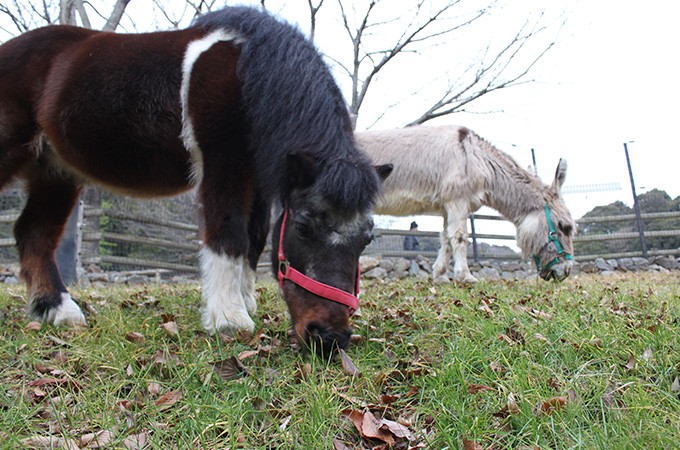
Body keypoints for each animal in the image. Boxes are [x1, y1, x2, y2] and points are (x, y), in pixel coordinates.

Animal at [0, 7, 390, 356]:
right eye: (304, 227)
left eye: (367, 239)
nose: (329, 337)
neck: (250, 74)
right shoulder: (224, 165)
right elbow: (228, 235)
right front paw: (229, 319)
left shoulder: (258, 179)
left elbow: (254, 239)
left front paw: (244, 302)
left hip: (56, 172)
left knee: (33, 234)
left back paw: (57, 310)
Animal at [358, 125, 576, 284]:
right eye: (564, 227)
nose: (566, 272)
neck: (478, 159)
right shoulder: (457, 201)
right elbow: (460, 237)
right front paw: (466, 276)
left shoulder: (446, 207)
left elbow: (446, 238)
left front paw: (440, 276)